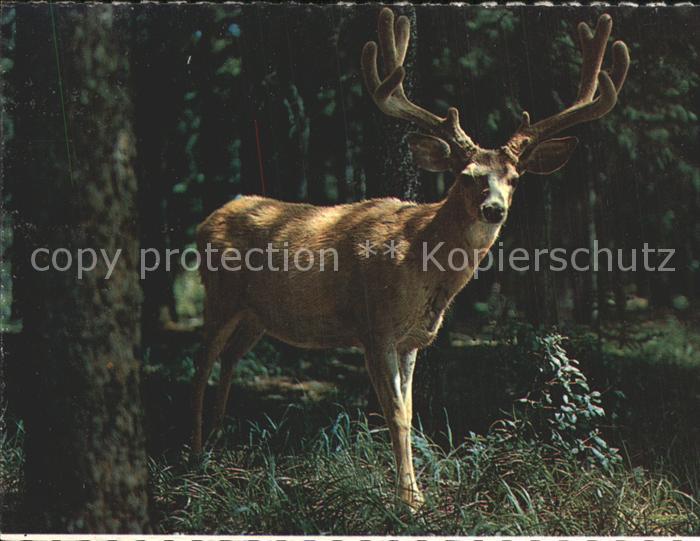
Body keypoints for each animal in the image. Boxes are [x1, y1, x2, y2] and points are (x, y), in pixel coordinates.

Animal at [191, 7, 629, 508]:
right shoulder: (374, 327)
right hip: (219, 296)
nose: (493, 208)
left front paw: (416, 491)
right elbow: (396, 414)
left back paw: (219, 440)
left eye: (515, 178)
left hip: (256, 315)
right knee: (200, 364)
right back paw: (196, 454)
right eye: (465, 175)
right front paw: (409, 501)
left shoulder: (411, 341)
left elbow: (413, 410)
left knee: (228, 360)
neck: (420, 263)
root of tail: (207, 221)